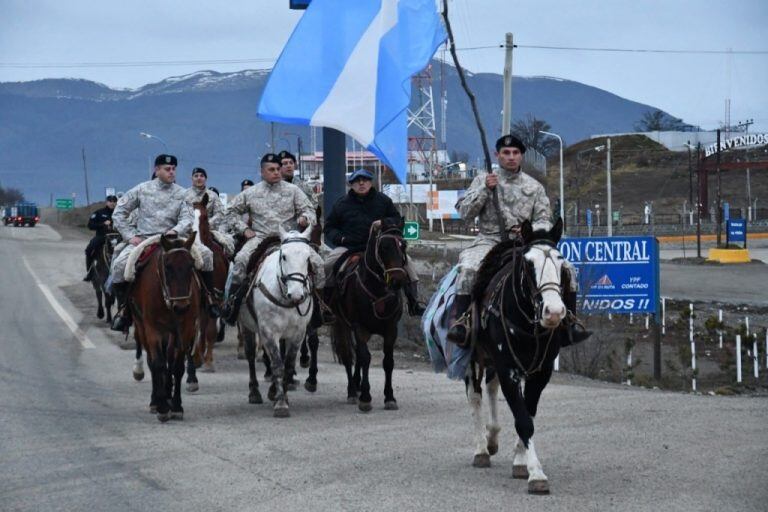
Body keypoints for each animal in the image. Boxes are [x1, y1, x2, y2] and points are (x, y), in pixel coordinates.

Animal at [130, 234, 206, 422]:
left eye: (191, 264)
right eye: (167, 266)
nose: (181, 307)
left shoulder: (185, 328)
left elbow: (176, 367)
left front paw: (176, 405)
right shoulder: (152, 329)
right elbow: (157, 364)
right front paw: (162, 407)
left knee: (169, 360)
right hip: (141, 326)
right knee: (152, 362)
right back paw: (156, 400)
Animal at [237, 226, 316, 418]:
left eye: (307, 258)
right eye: (284, 256)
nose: (297, 294)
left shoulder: (298, 333)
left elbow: (287, 365)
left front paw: (282, 396)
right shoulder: (268, 331)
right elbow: (278, 365)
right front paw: (281, 405)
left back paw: (273, 390)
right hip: (247, 326)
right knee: (251, 355)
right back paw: (254, 392)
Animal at [332, 220, 412, 412]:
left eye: (403, 245)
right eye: (383, 246)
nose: (398, 280)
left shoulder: (391, 329)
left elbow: (388, 361)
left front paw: (389, 397)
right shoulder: (359, 327)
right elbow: (365, 358)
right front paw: (365, 397)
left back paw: (357, 385)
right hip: (343, 324)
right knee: (349, 356)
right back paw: (352, 391)